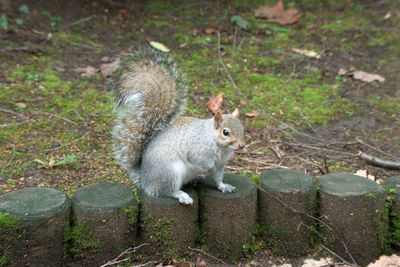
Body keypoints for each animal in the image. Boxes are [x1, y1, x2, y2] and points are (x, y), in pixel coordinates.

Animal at [111, 49, 245, 205]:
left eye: (242, 128)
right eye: (225, 132)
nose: (242, 145)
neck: (220, 146)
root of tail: (145, 180)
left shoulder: (221, 164)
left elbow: (218, 178)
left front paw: (224, 186)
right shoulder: (198, 150)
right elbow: (203, 163)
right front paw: (208, 170)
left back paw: (197, 178)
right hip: (168, 172)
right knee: (165, 191)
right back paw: (182, 195)